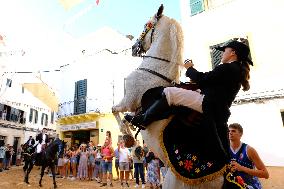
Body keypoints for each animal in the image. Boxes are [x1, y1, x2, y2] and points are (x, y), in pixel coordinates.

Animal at [112, 4, 225, 189]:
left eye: (146, 25)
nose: (134, 48)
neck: (156, 69)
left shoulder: (128, 101)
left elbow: (115, 110)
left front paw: (128, 137)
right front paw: (130, 132)